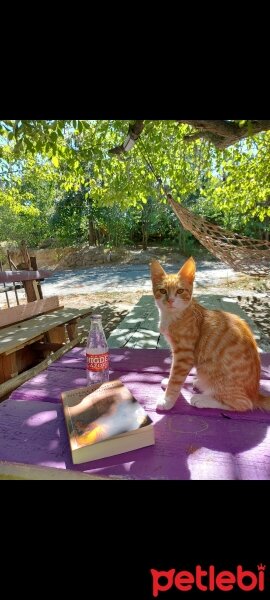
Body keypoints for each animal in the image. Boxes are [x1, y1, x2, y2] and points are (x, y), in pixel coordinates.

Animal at [151, 255, 268, 410]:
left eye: (180, 291)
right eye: (163, 291)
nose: (170, 300)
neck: (173, 315)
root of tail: (255, 393)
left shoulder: (184, 356)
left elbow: (175, 379)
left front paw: (167, 400)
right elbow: (172, 374)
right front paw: (167, 384)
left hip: (212, 372)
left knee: (244, 404)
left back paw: (202, 400)